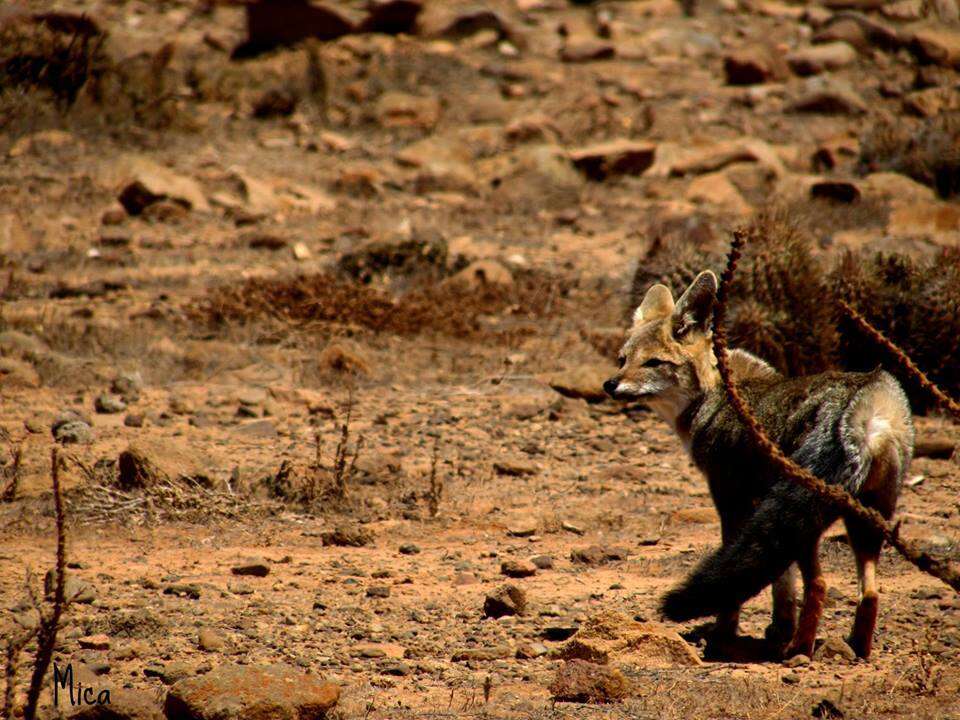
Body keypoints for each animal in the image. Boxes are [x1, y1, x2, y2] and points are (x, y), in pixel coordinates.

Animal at [604, 270, 912, 660]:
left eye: (653, 363)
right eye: (622, 359)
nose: (610, 384)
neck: (718, 393)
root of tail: (863, 399)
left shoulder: (731, 501)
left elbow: (740, 589)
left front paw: (723, 635)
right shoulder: (761, 507)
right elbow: (782, 583)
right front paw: (779, 628)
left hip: (808, 526)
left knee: (821, 583)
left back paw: (799, 652)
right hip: (862, 520)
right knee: (868, 592)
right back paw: (855, 647)